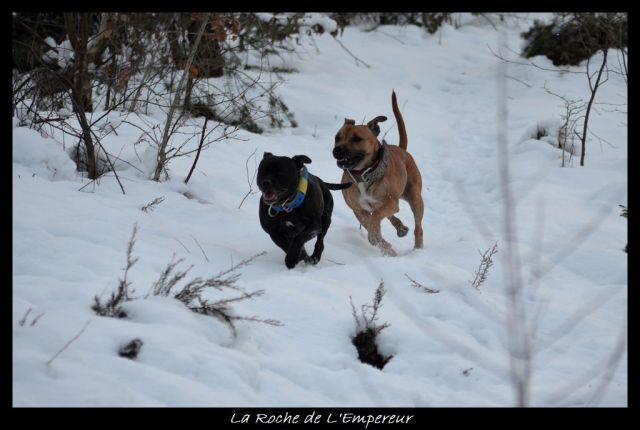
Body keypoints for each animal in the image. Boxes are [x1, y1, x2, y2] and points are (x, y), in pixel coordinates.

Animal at [332, 89, 422, 254]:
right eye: (337, 137)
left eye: (357, 139)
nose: (337, 150)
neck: (364, 174)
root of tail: (402, 150)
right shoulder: (358, 209)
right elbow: (369, 221)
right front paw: (384, 246)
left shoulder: (390, 202)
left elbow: (376, 217)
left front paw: (377, 238)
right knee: (389, 216)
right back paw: (400, 228)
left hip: (415, 198)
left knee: (418, 227)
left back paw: (418, 249)